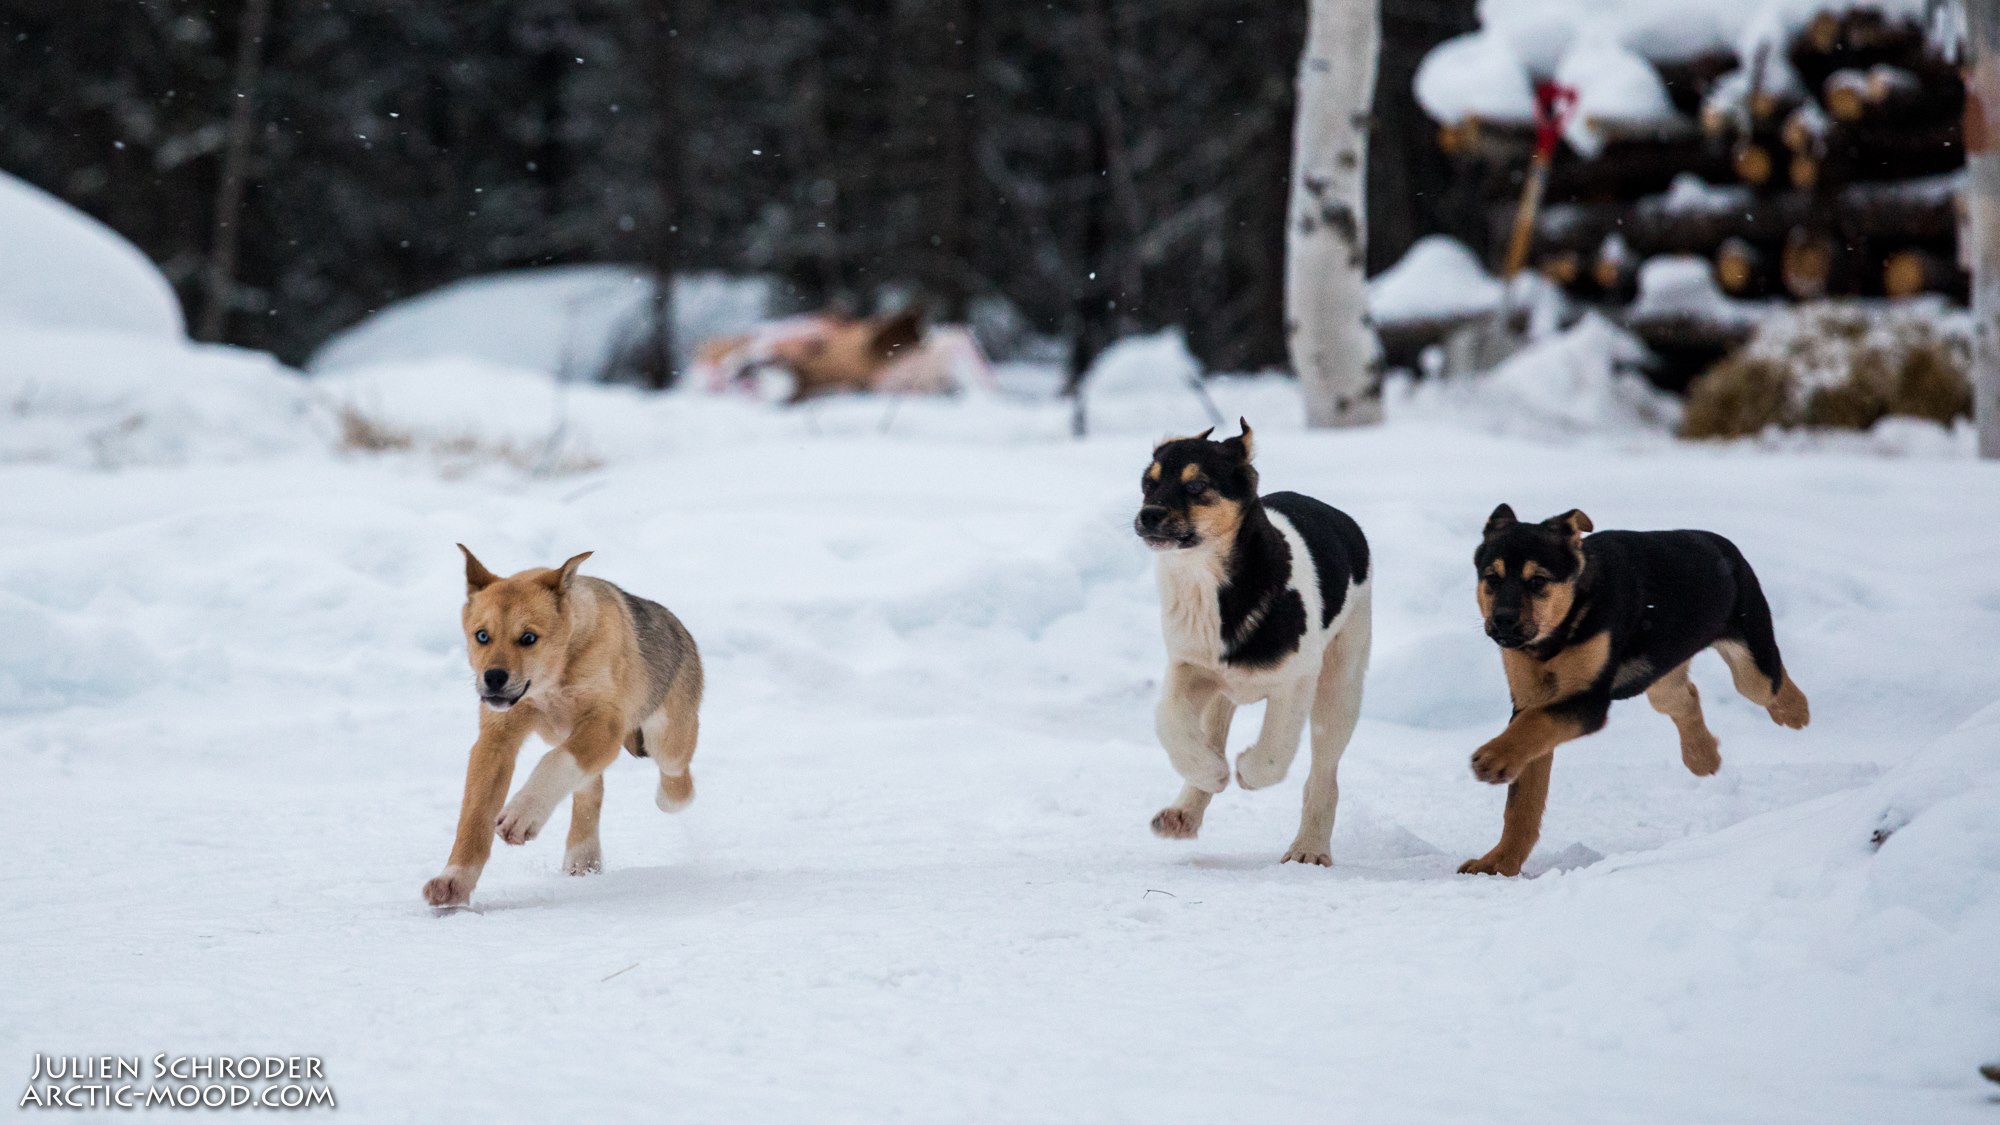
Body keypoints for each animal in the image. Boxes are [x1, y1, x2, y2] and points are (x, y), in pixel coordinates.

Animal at [422, 548, 704, 904]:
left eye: (528, 637)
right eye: (482, 636)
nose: (494, 678)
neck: (552, 682)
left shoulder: (605, 724)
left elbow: (554, 760)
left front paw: (522, 815)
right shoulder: (496, 739)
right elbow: (475, 815)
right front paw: (454, 881)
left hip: (666, 736)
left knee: (675, 776)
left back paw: (670, 798)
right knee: (590, 789)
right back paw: (582, 860)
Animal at [1136, 416, 1368, 860]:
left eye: (1196, 485)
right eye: (1147, 483)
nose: (1147, 514)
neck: (1210, 584)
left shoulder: (1296, 679)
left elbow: (1277, 748)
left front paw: (1247, 771)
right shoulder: (1189, 666)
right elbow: (1168, 719)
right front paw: (1210, 772)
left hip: (1342, 681)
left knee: (1324, 772)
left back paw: (1309, 849)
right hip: (1221, 693)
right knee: (1211, 733)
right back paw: (1183, 812)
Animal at [1464, 508, 1808, 876]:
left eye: (1538, 581)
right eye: (1492, 578)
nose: (1503, 620)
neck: (1566, 621)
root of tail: (1720, 543)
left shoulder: (1588, 701)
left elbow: (1535, 726)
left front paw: (1493, 758)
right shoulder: (1531, 699)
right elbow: (1523, 800)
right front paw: (1498, 863)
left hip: (1750, 661)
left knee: (1768, 682)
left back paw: (1796, 713)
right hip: (1659, 672)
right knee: (1686, 696)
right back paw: (1703, 757)